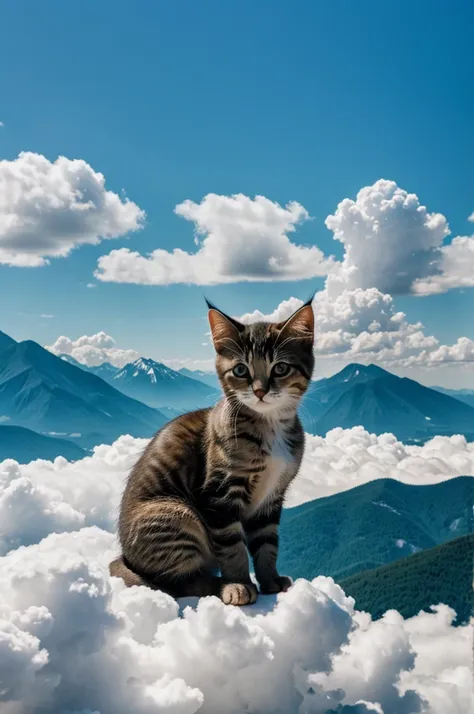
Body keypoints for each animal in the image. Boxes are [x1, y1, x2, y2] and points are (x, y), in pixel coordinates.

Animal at [110, 294, 314, 600]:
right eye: (240, 370)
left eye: (281, 368)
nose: (260, 391)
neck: (270, 427)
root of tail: (125, 557)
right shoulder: (219, 494)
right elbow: (232, 546)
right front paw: (239, 583)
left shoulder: (272, 497)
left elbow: (267, 544)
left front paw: (270, 580)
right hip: (176, 515)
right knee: (179, 583)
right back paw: (216, 584)